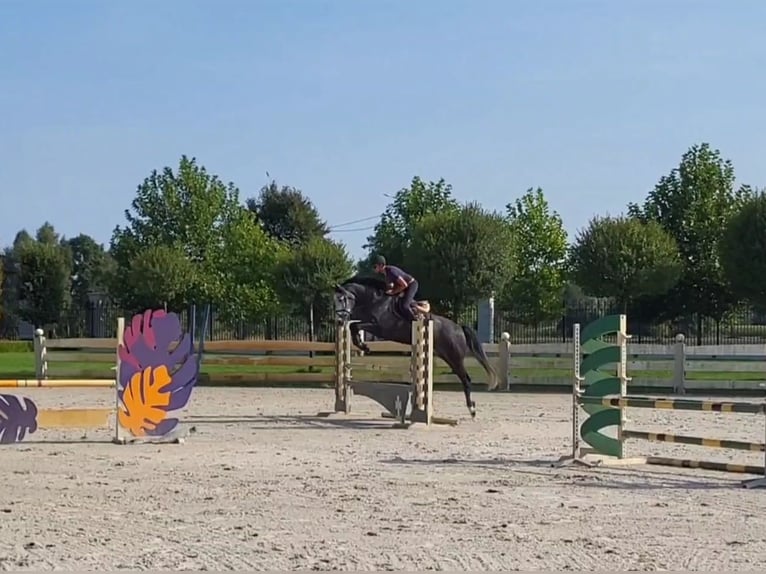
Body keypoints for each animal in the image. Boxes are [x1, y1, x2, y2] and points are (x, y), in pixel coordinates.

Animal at [334, 274, 500, 418]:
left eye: (342, 299)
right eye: (334, 300)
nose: (340, 318)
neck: (374, 300)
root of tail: (459, 328)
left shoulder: (379, 327)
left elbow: (356, 326)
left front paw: (364, 346)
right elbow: (353, 326)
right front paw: (362, 345)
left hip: (455, 359)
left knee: (466, 380)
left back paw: (472, 410)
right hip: (446, 356)